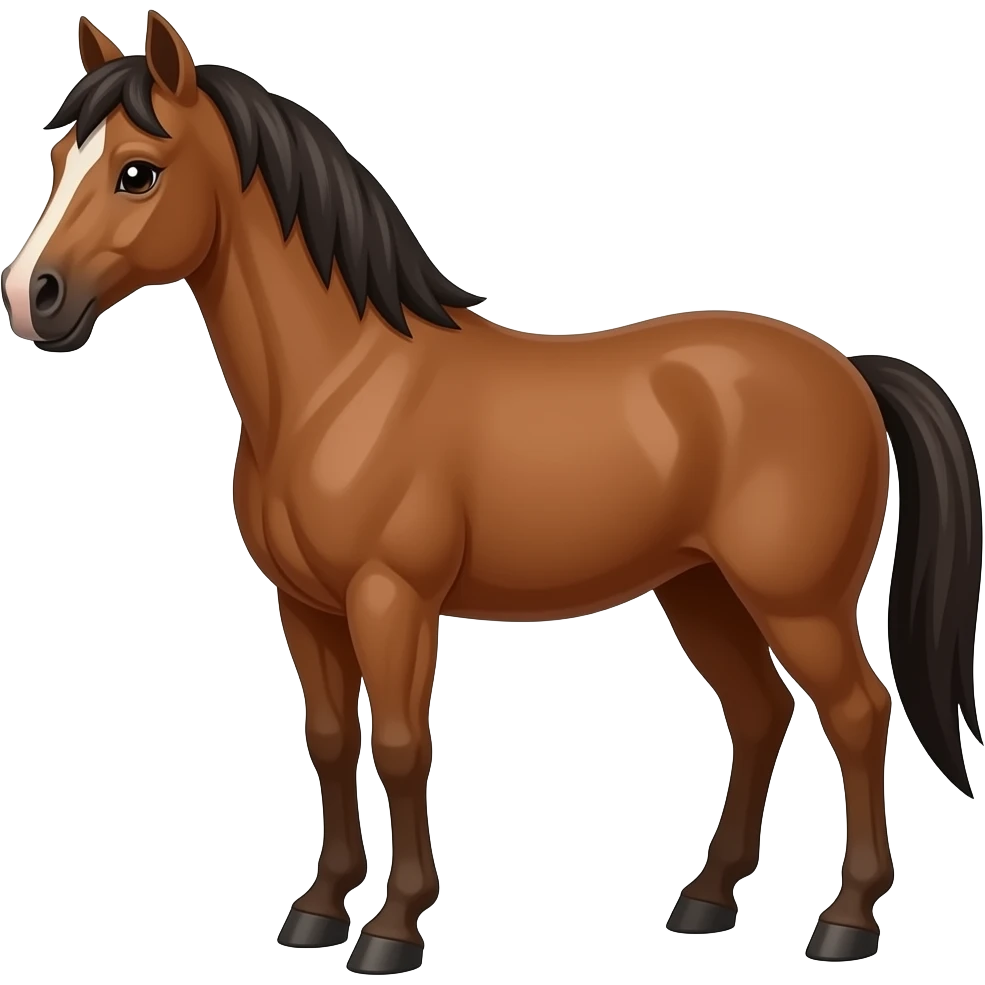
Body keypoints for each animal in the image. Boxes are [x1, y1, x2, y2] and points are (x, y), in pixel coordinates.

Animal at [3, 12, 981, 974]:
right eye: (58, 161)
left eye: (137, 171)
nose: (31, 297)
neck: (341, 384)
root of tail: (849, 370)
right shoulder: (304, 606)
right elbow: (330, 742)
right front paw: (317, 909)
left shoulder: (392, 598)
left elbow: (401, 747)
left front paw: (393, 928)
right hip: (699, 589)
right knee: (758, 713)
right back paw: (707, 898)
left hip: (796, 601)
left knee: (857, 714)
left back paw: (846, 919)